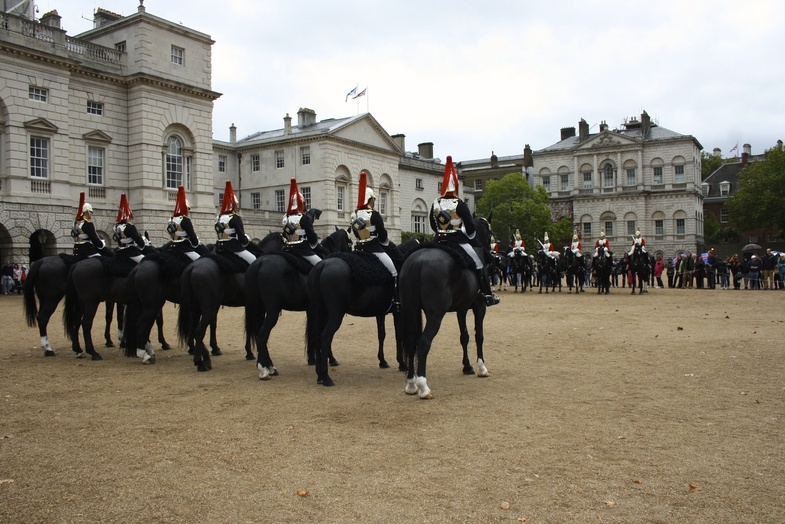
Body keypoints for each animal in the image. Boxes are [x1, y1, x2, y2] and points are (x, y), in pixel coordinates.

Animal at [178, 233, 284, 372]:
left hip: (197, 307)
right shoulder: (253, 305)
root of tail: (192, 267)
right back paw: (201, 362)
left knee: (194, 328)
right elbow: (251, 326)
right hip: (207, 307)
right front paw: (252, 353)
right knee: (199, 330)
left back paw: (203, 354)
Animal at [245, 227, 352, 378]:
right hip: (272, 310)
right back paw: (265, 368)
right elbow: (320, 332)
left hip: (260, 307)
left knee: (258, 332)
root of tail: (259, 262)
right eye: (350, 242)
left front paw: (312, 358)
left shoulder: (311, 310)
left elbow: (312, 331)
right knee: (262, 333)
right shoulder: (323, 310)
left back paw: (267, 365)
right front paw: (329, 358)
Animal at [402, 219, 494, 400]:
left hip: (410, 311)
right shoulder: (479, 307)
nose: (491, 252)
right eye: (489, 233)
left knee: (410, 342)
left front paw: (467, 366)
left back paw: (411, 384)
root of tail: (418, 261)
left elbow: (464, 337)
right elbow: (479, 336)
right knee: (424, 342)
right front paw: (481, 368)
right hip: (435, 316)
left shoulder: (462, 309)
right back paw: (423, 387)